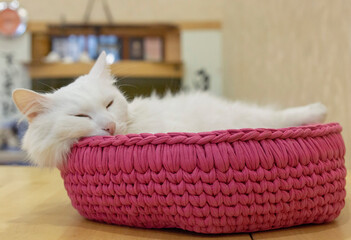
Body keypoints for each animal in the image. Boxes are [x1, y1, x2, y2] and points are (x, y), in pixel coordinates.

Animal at [12, 51, 328, 168]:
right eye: (80, 117)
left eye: (109, 104)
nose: (110, 126)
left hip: (252, 116)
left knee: (280, 117)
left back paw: (319, 110)